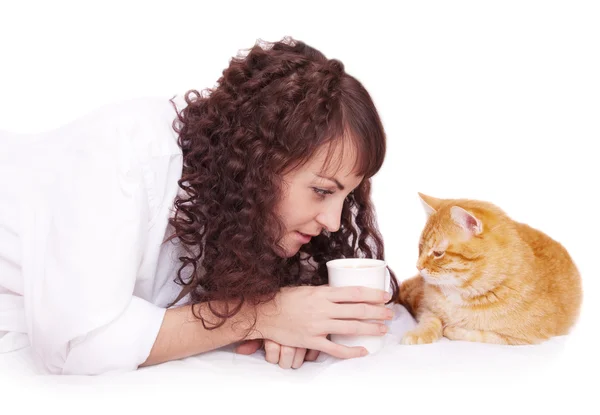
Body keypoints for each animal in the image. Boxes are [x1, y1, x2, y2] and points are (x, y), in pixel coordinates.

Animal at [398, 193, 580, 346]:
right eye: (420, 247)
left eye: (438, 253)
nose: (418, 266)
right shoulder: (426, 307)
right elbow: (430, 320)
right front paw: (419, 333)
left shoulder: (520, 337)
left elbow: (477, 333)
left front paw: (452, 329)